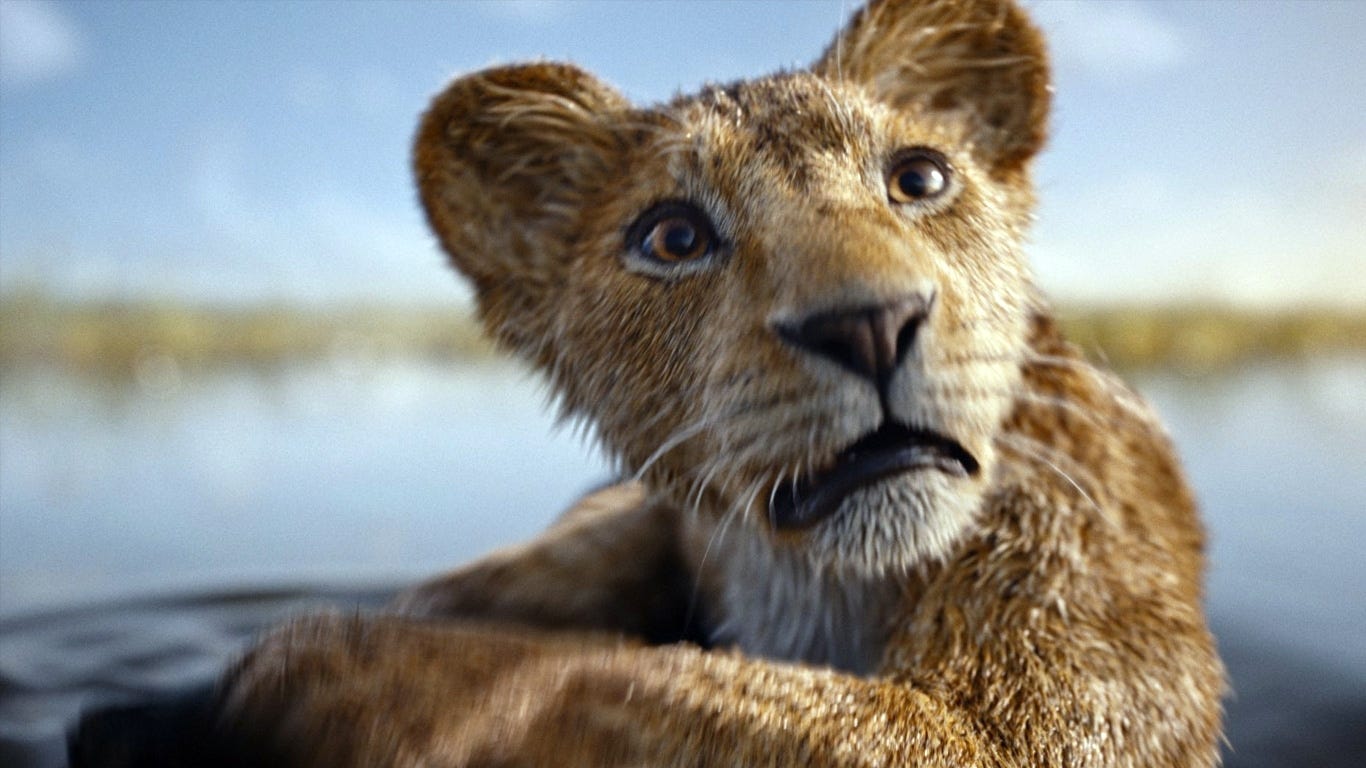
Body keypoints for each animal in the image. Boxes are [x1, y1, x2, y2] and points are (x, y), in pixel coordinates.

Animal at [72, 0, 1225, 765]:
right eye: (673, 236)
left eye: (920, 177)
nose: (869, 323)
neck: (813, 585)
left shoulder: (1059, 686)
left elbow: (596, 677)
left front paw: (314, 669)